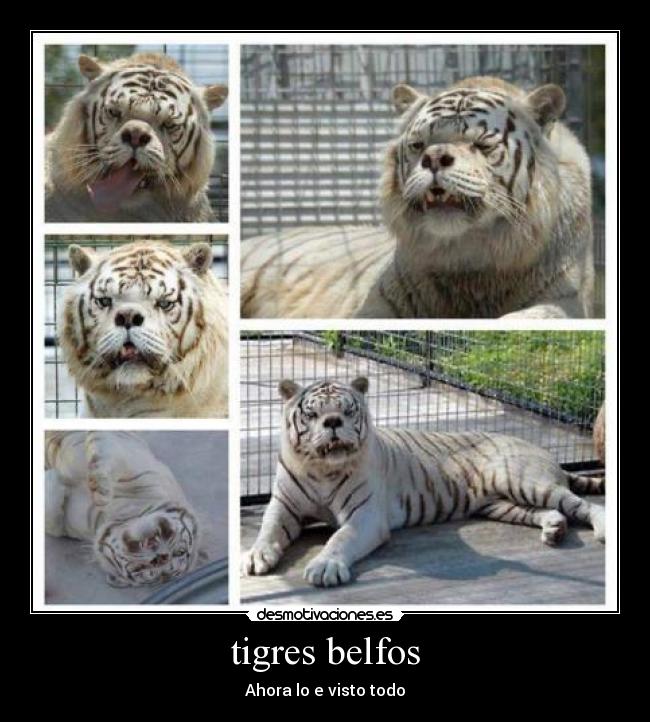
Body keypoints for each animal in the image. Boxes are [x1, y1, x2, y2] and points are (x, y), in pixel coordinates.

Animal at [45, 431, 200, 588]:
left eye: (142, 569)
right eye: (180, 552)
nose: (161, 557)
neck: (119, 511)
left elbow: (53, 520)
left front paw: (52, 477)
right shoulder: (130, 459)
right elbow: (104, 450)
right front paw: (100, 489)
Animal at [241, 77, 594, 319]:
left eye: (482, 144)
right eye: (418, 144)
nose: (435, 158)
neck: (472, 265)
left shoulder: (564, 300)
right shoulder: (378, 305)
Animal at [241, 377, 605, 587]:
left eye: (348, 411)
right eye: (313, 414)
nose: (333, 422)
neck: (320, 468)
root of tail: (541, 449)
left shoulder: (366, 515)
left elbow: (340, 538)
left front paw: (324, 566)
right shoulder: (284, 505)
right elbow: (268, 530)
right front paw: (255, 556)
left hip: (524, 481)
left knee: (583, 506)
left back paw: (600, 529)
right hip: (503, 504)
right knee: (553, 512)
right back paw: (554, 530)